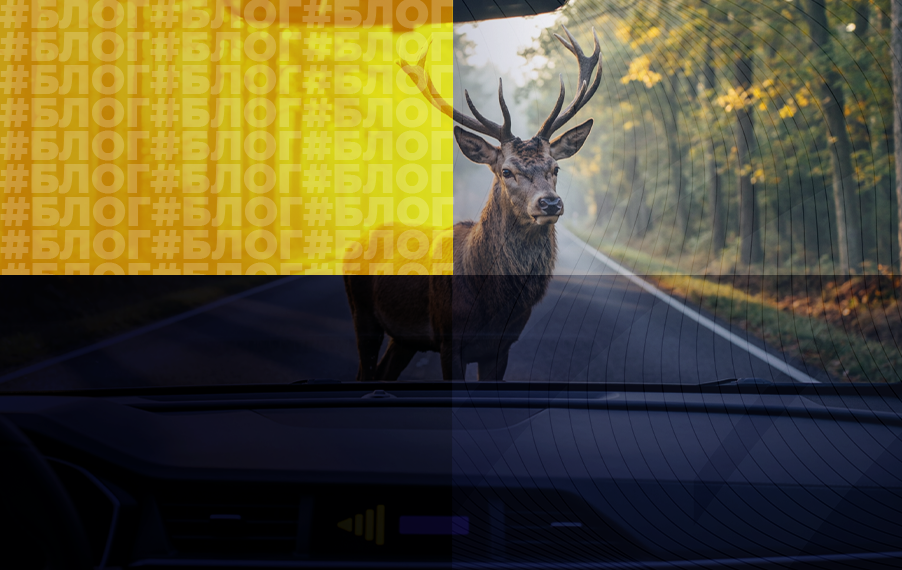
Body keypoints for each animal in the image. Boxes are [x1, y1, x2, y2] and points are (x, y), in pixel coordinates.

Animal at [344, 26, 602, 381]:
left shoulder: (502, 347)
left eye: (555, 168)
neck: (491, 304)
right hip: (362, 310)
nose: (550, 203)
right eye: (506, 171)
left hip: (404, 338)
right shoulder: (448, 339)